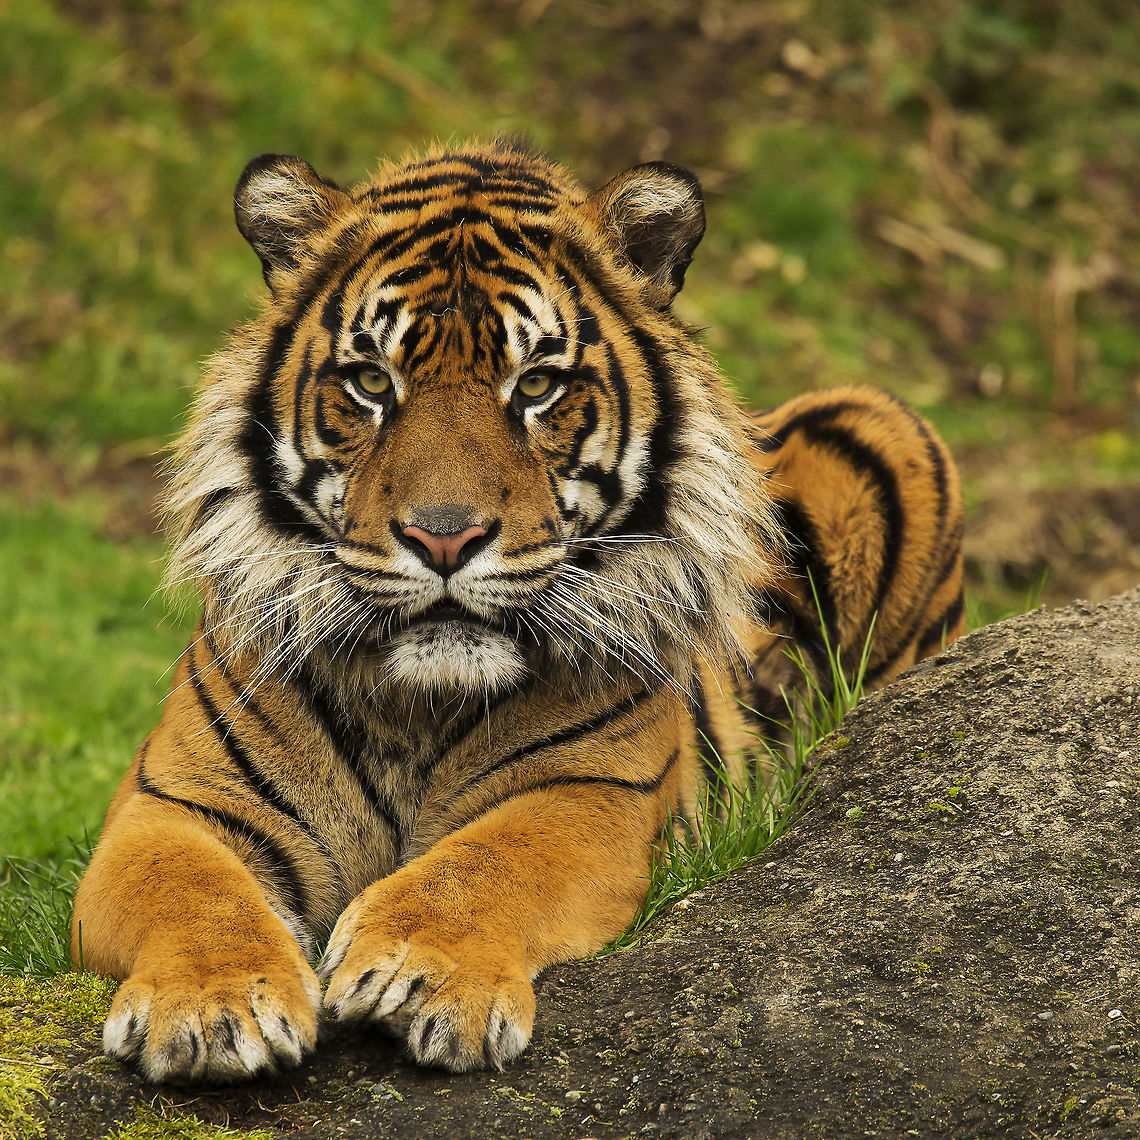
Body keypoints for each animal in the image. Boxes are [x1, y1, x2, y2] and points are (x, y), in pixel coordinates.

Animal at [71, 141, 964, 1084]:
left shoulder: (589, 792)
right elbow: (192, 893)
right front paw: (211, 1007)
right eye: (370, 381)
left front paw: (415, 972)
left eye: (535, 385)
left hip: (882, 420)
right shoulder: (171, 804)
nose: (444, 538)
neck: (413, 709)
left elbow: (491, 862)